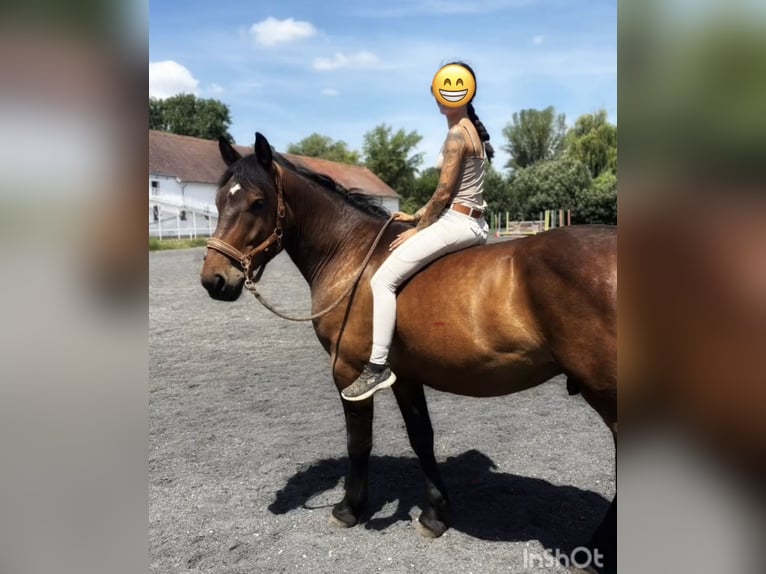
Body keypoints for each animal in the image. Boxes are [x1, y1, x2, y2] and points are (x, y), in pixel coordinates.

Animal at [200, 133, 617, 571]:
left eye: (257, 202)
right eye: (219, 201)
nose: (215, 280)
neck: (352, 255)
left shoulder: (348, 371)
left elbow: (359, 442)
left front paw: (349, 509)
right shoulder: (405, 376)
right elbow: (421, 438)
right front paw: (435, 514)